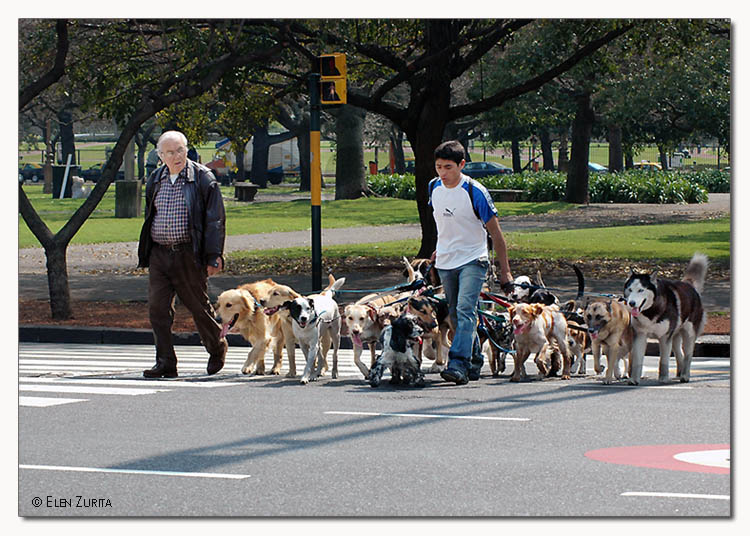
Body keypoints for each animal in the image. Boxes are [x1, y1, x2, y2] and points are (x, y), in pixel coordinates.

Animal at [624, 253, 708, 384]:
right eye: (630, 289)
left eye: (641, 290)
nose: (631, 303)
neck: (650, 311)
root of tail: (689, 285)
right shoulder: (640, 335)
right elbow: (637, 360)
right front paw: (634, 379)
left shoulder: (664, 337)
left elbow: (663, 360)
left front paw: (663, 378)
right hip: (675, 335)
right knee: (679, 353)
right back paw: (679, 373)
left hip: (688, 334)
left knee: (688, 355)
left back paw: (685, 375)